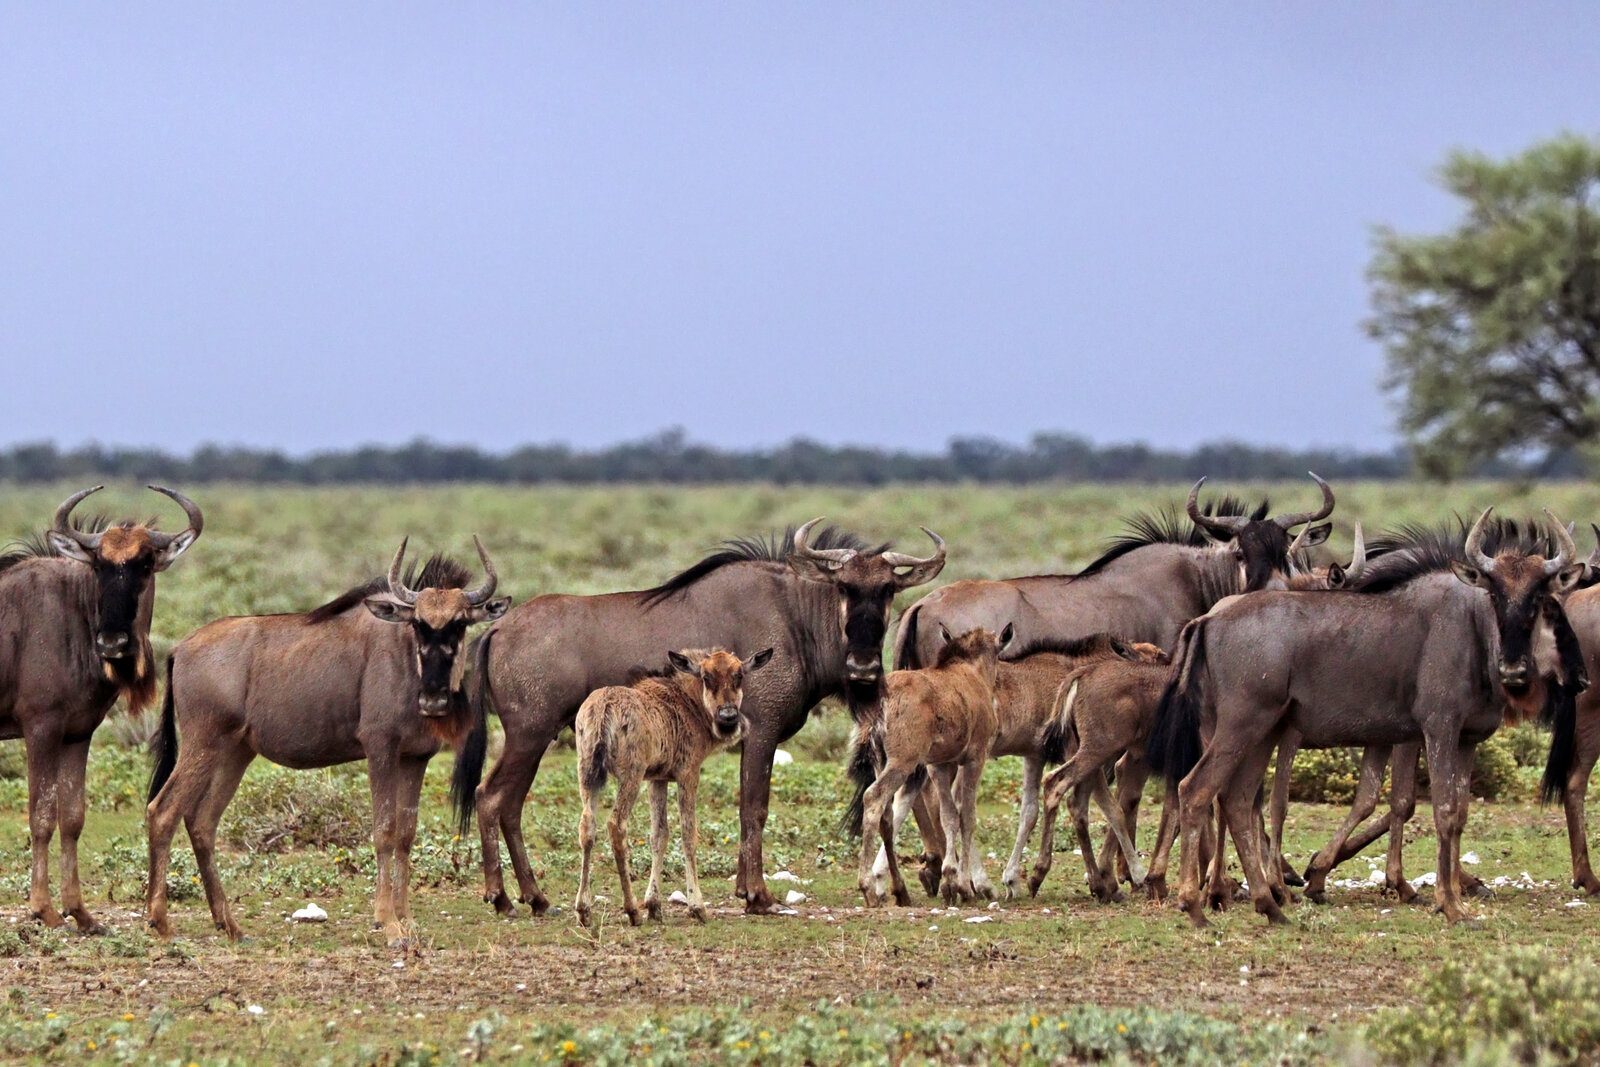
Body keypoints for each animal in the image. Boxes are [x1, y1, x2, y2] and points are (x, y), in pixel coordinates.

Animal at [0, 485, 203, 932]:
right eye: (99, 564)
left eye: (145, 563)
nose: (112, 642)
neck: (72, 617)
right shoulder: (41, 730)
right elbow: (41, 816)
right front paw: (44, 909)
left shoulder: (78, 734)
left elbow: (73, 818)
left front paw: (81, 913)